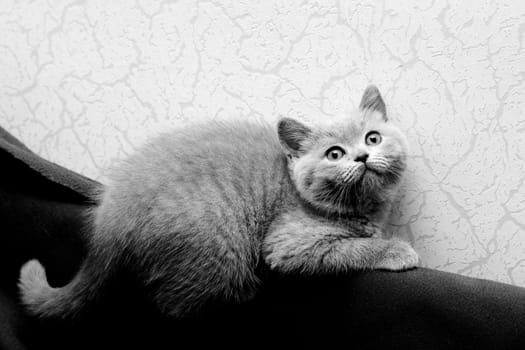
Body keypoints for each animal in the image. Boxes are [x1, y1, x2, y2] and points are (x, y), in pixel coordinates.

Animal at [18, 85, 418, 318]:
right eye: (334, 154)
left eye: (373, 137)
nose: (362, 157)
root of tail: (108, 222)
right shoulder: (288, 244)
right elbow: (351, 249)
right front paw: (395, 250)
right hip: (215, 247)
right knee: (172, 305)